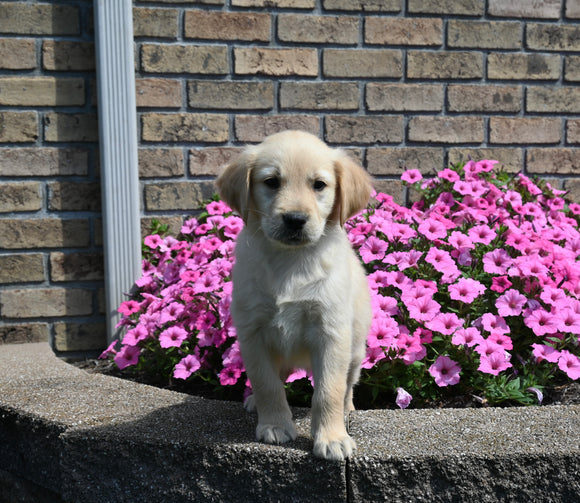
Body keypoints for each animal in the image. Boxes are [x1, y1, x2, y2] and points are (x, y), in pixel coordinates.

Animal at [216, 131, 372, 460]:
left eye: (319, 185)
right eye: (271, 181)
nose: (295, 219)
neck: (289, 260)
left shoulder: (331, 333)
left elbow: (329, 390)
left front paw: (332, 437)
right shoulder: (252, 333)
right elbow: (266, 382)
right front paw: (275, 424)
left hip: (355, 350)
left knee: (348, 384)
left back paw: (347, 409)